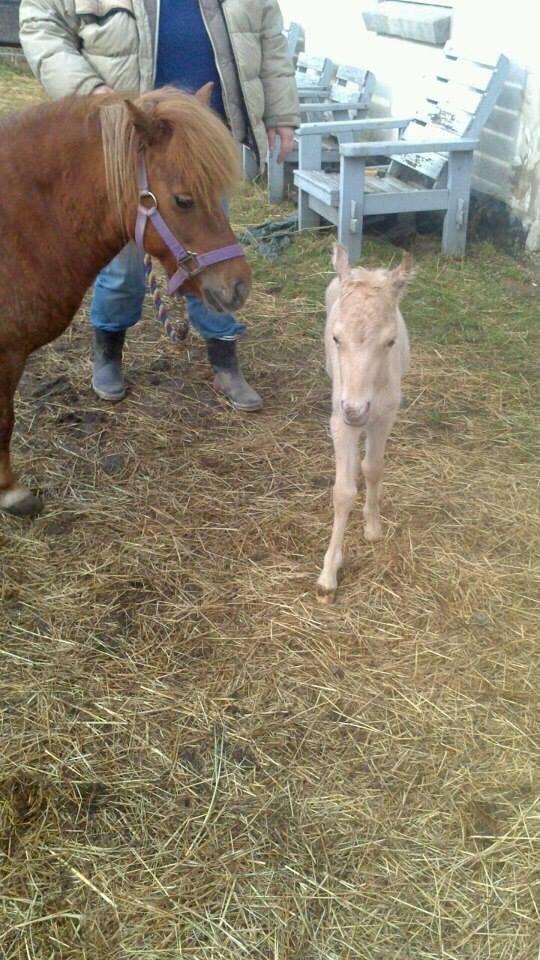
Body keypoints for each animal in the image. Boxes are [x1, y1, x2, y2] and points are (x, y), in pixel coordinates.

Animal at [317, 243, 412, 603]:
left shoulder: (385, 414)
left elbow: (373, 468)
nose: (356, 411)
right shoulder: (340, 421)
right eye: (336, 338)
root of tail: (366, 269)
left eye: (390, 342)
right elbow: (343, 491)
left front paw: (372, 527)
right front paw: (328, 576)